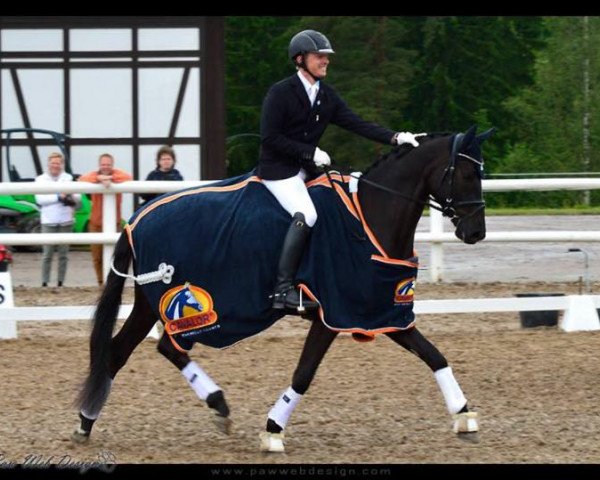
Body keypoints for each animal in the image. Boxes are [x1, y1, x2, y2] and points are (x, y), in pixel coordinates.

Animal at [72, 124, 494, 454]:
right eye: (466, 174)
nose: (476, 232)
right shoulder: (333, 313)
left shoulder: (381, 310)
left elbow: (434, 356)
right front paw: (273, 431)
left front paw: (465, 416)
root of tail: (135, 219)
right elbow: (304, 373)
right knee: (147, 348)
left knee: (133, 350)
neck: (368, 218)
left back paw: (94, 422)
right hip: (169, 303)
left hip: (153, 305)